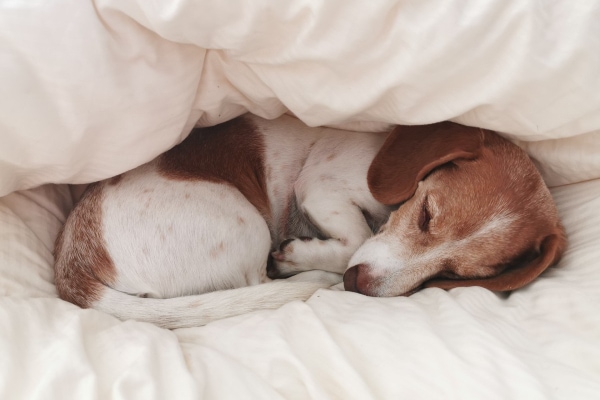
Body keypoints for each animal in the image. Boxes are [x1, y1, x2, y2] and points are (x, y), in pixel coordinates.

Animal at [54, 112, 564, 328]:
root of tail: (77, 268)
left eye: (455, 274)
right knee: (258, 280)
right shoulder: (319, 187)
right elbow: (354, 240)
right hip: (247, 224)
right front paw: (312, 255)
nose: (359, 285)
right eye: (426, 214)